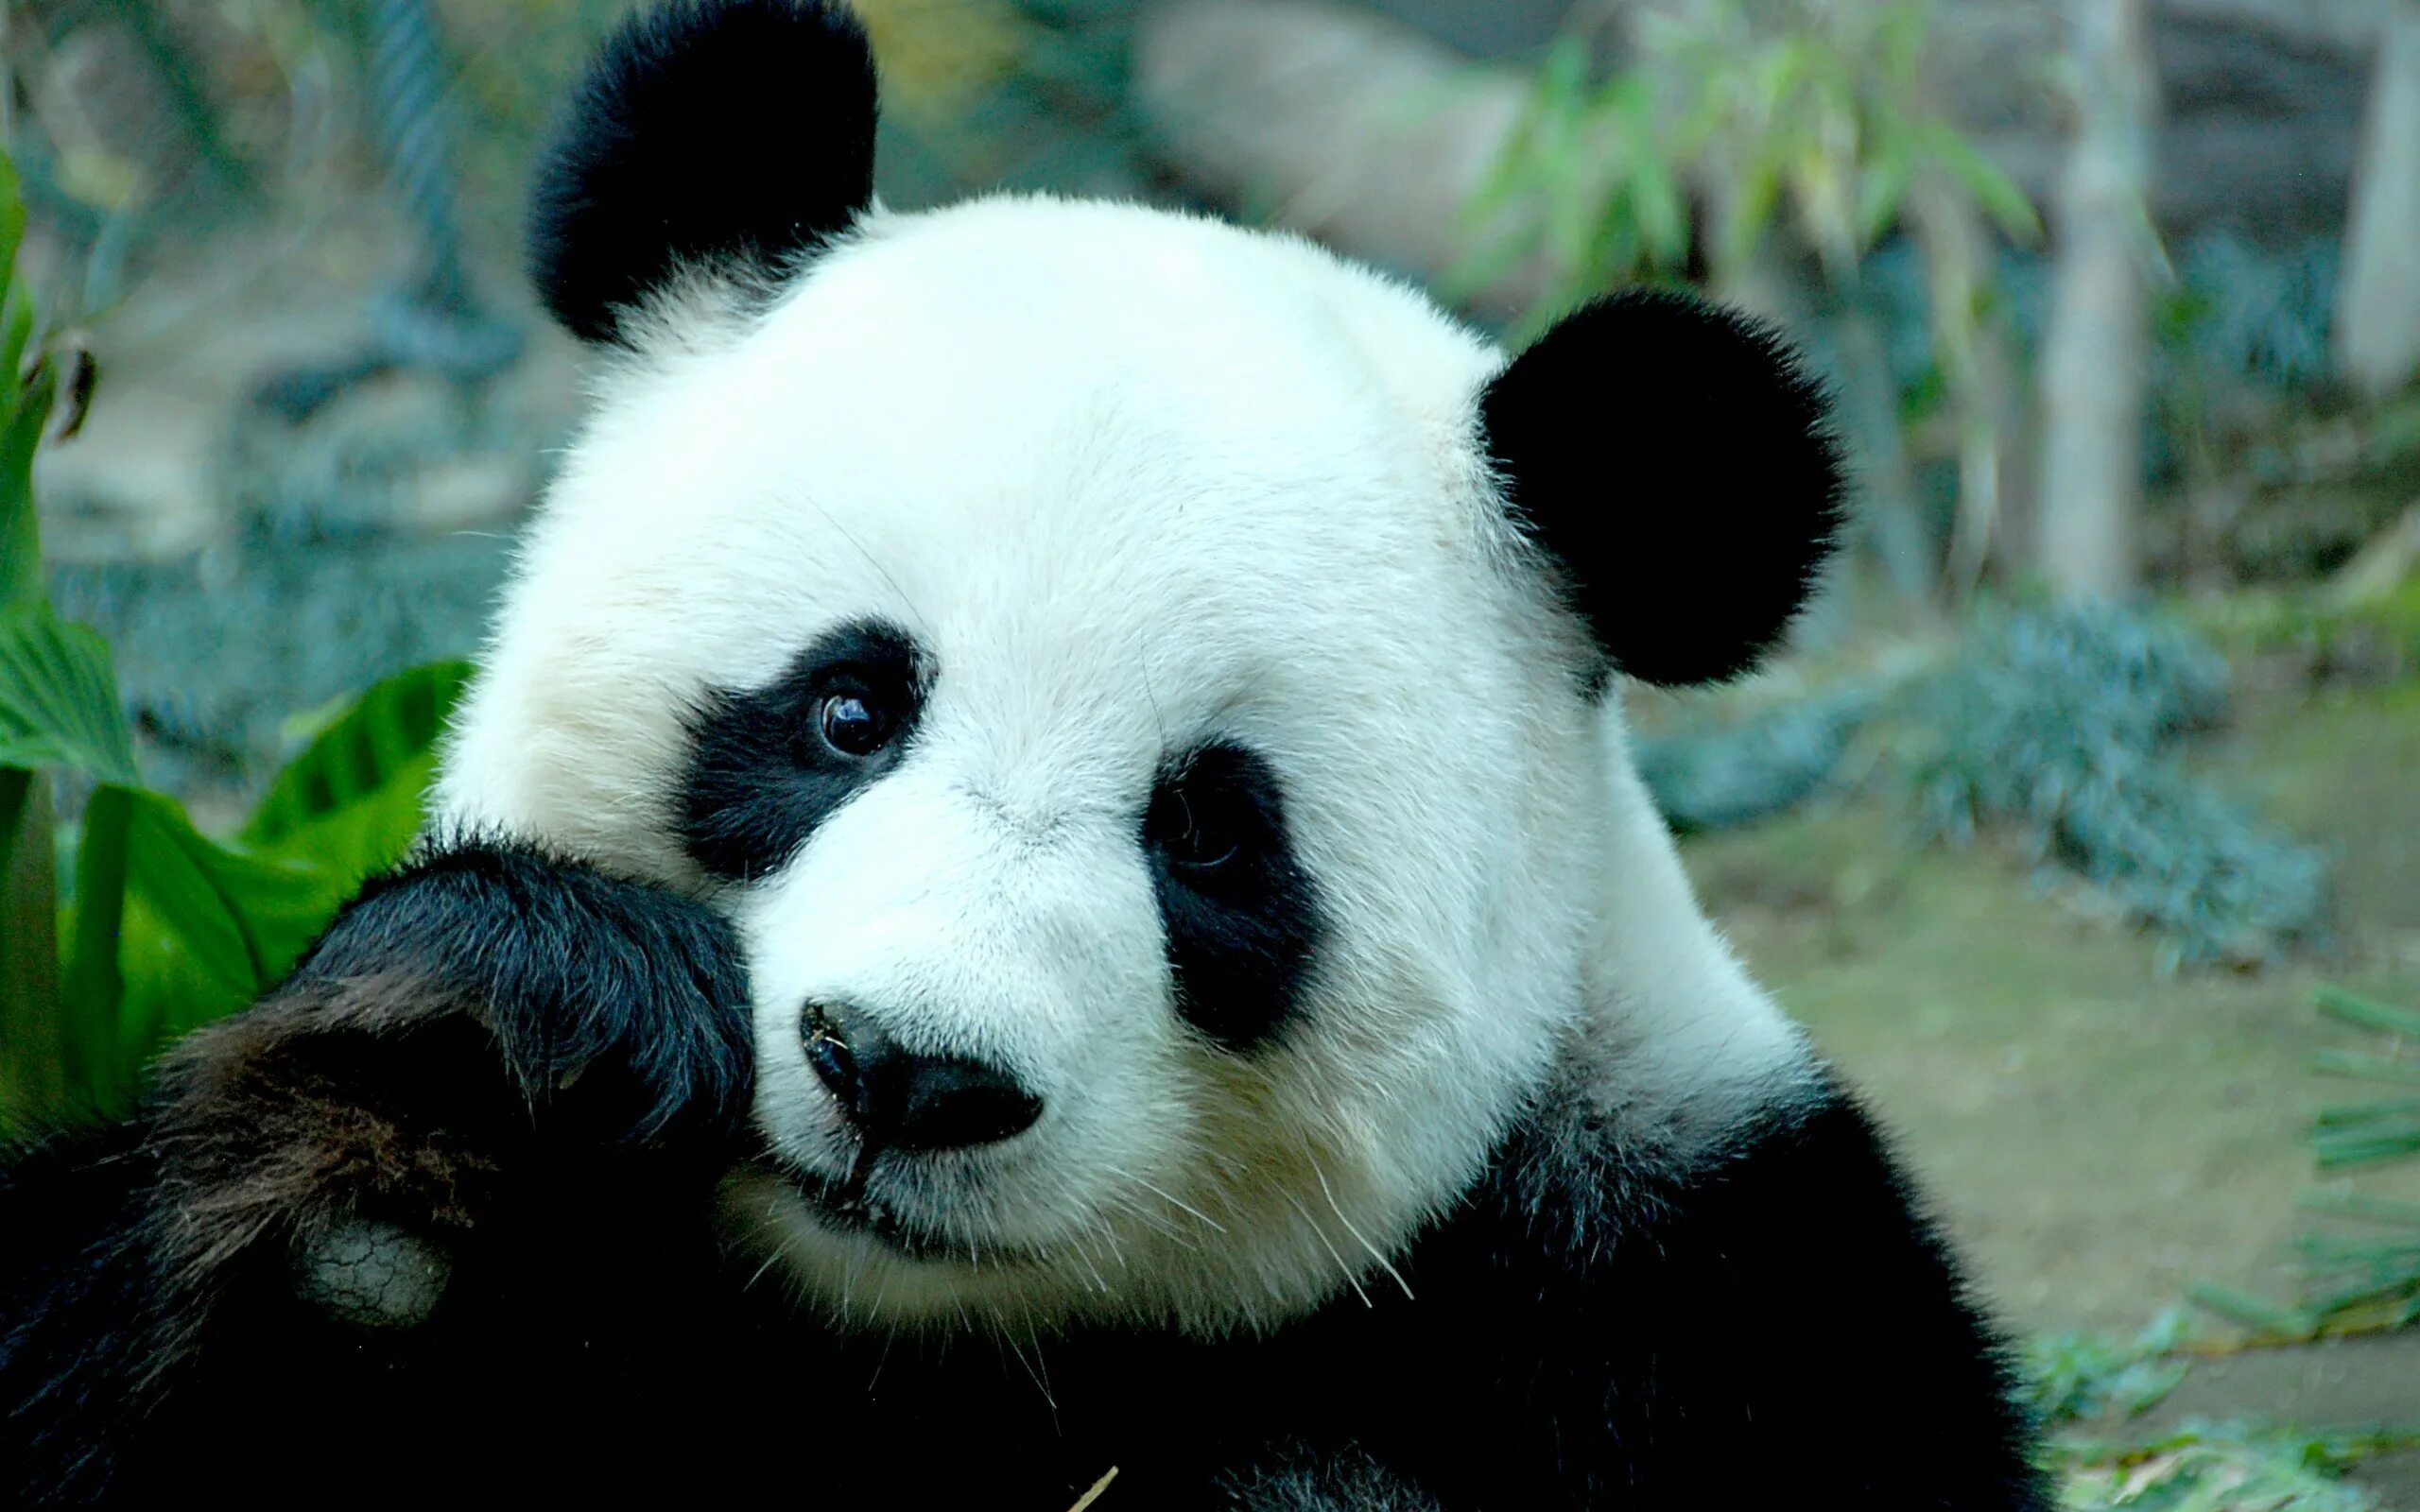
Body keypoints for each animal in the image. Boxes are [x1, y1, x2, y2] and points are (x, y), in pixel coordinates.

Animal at [0, 1, 2047, 1505]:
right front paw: (473, 1073)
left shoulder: (1683, 1296)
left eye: (1212, 833)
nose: (907, 1074)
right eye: (846, 708)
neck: (907, 1342)